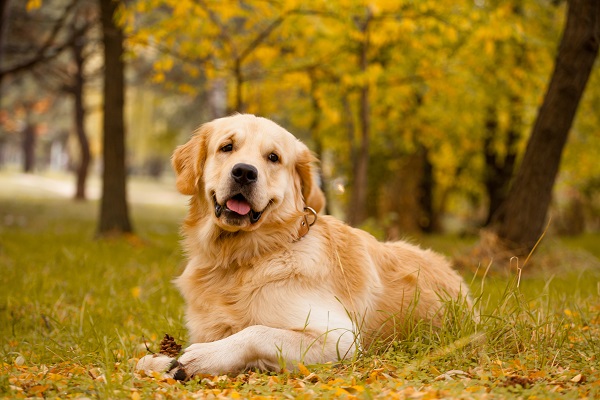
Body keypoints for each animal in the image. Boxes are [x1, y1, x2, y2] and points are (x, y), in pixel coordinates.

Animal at [137, 113, 474, 378]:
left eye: (273, 157)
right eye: (227, 147)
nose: (244, 172)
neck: (244, 258)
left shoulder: (341, 337)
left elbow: (255, 331)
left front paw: (201, 356)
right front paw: (159, 360)